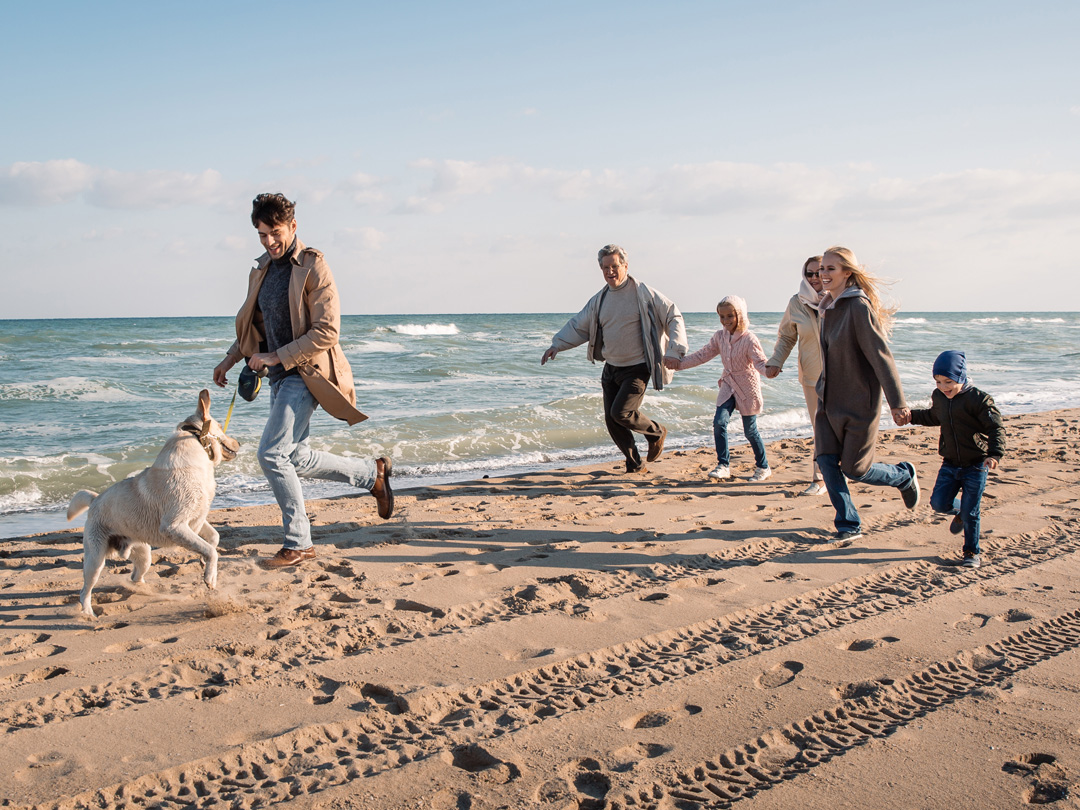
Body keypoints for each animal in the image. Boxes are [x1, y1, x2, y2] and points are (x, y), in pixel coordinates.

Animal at [67, 390, 240, 617]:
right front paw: (209, 577)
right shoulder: (174, 525)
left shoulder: (196, 518)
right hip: (95, 559)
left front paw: (203, 562)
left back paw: (144, 590)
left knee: (135, 576)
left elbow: (213, 539)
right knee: (84, 590)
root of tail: (95, 499)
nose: (238, 443)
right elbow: (211, 549)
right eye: (220, 425)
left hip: (143, 554)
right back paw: (88, 614)